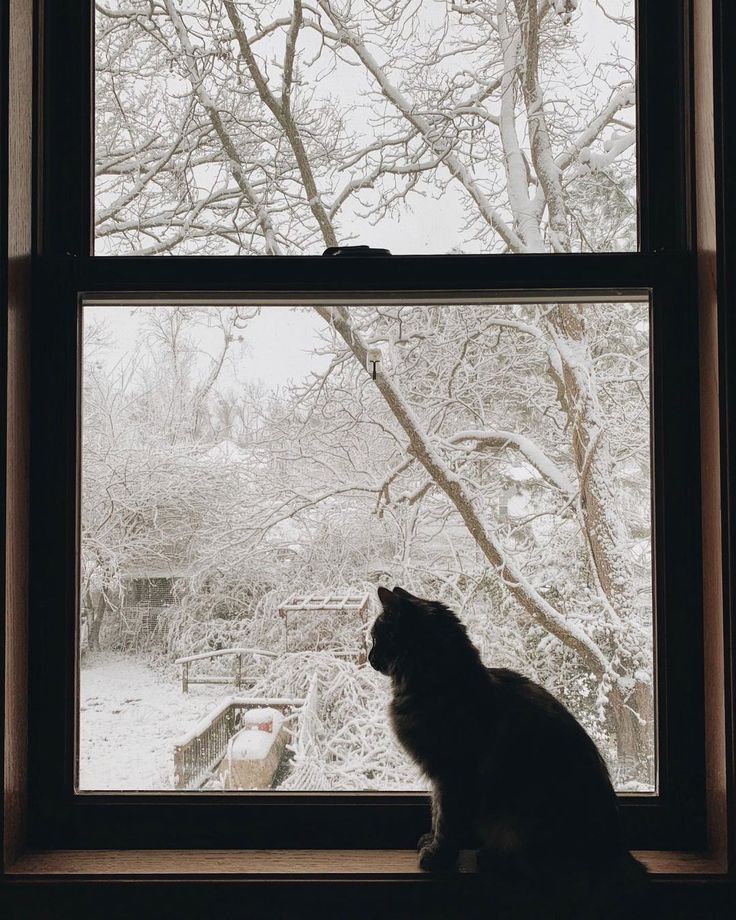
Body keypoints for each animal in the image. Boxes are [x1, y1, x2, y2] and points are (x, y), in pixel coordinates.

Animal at [370, 584, 648, 916]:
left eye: (376, 637)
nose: (368, 656)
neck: (442, 681)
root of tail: (619, 850)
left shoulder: (452, 774)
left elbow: (447, 820)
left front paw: (438, 856)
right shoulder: (440, 777)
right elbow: (437, 811)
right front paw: (431, 840)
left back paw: (493, 858)